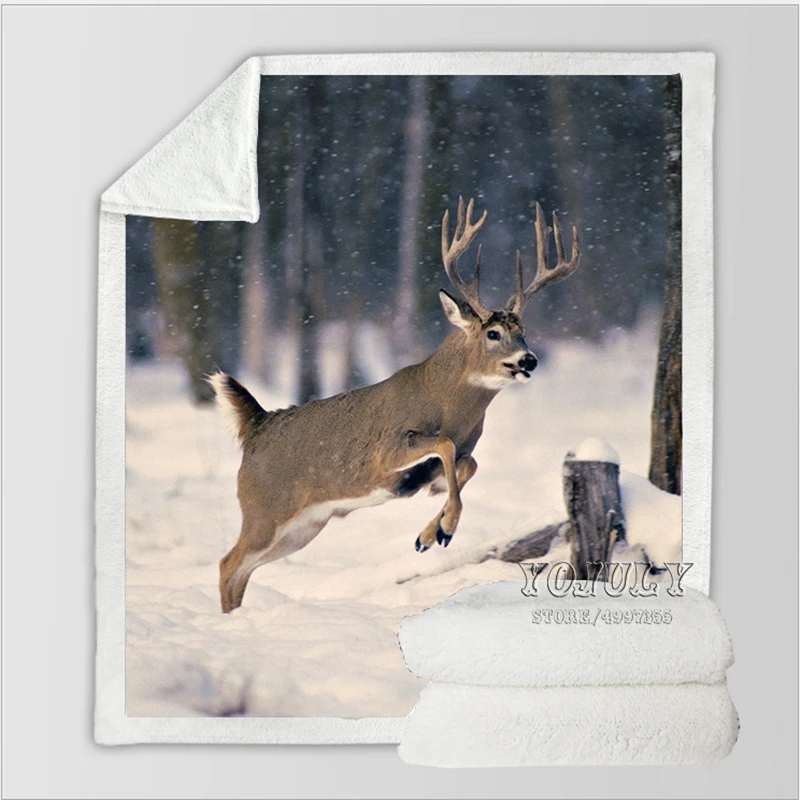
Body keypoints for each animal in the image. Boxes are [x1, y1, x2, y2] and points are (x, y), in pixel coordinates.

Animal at [210, 198, 579, 612]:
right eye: (494, 333)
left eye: (524, 331)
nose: (529, 359)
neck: (447, 405)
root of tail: (257, 423)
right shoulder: (385, 453)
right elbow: (445, 446)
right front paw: (445, 528)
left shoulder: (457, 456)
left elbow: (467, 464)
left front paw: (429, 535)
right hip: (263, 509)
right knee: (228, 563)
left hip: (302, 527)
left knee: (243, 570)